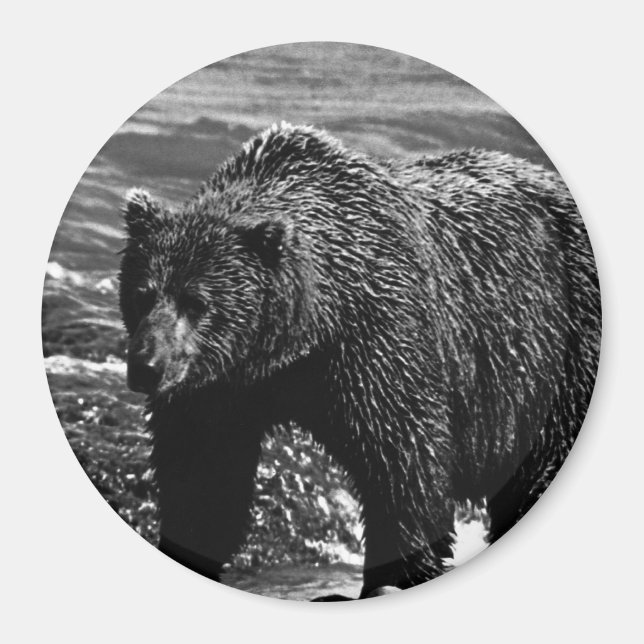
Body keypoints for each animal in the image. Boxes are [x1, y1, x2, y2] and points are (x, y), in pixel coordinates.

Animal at [118, 122, 601, 599]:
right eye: (142, 293)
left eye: (196, 301)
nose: (146, 366)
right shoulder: (223, 386)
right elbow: (202, 477)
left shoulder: (377, 335)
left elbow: (404, 462)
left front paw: (398, 573)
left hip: (559, 345)